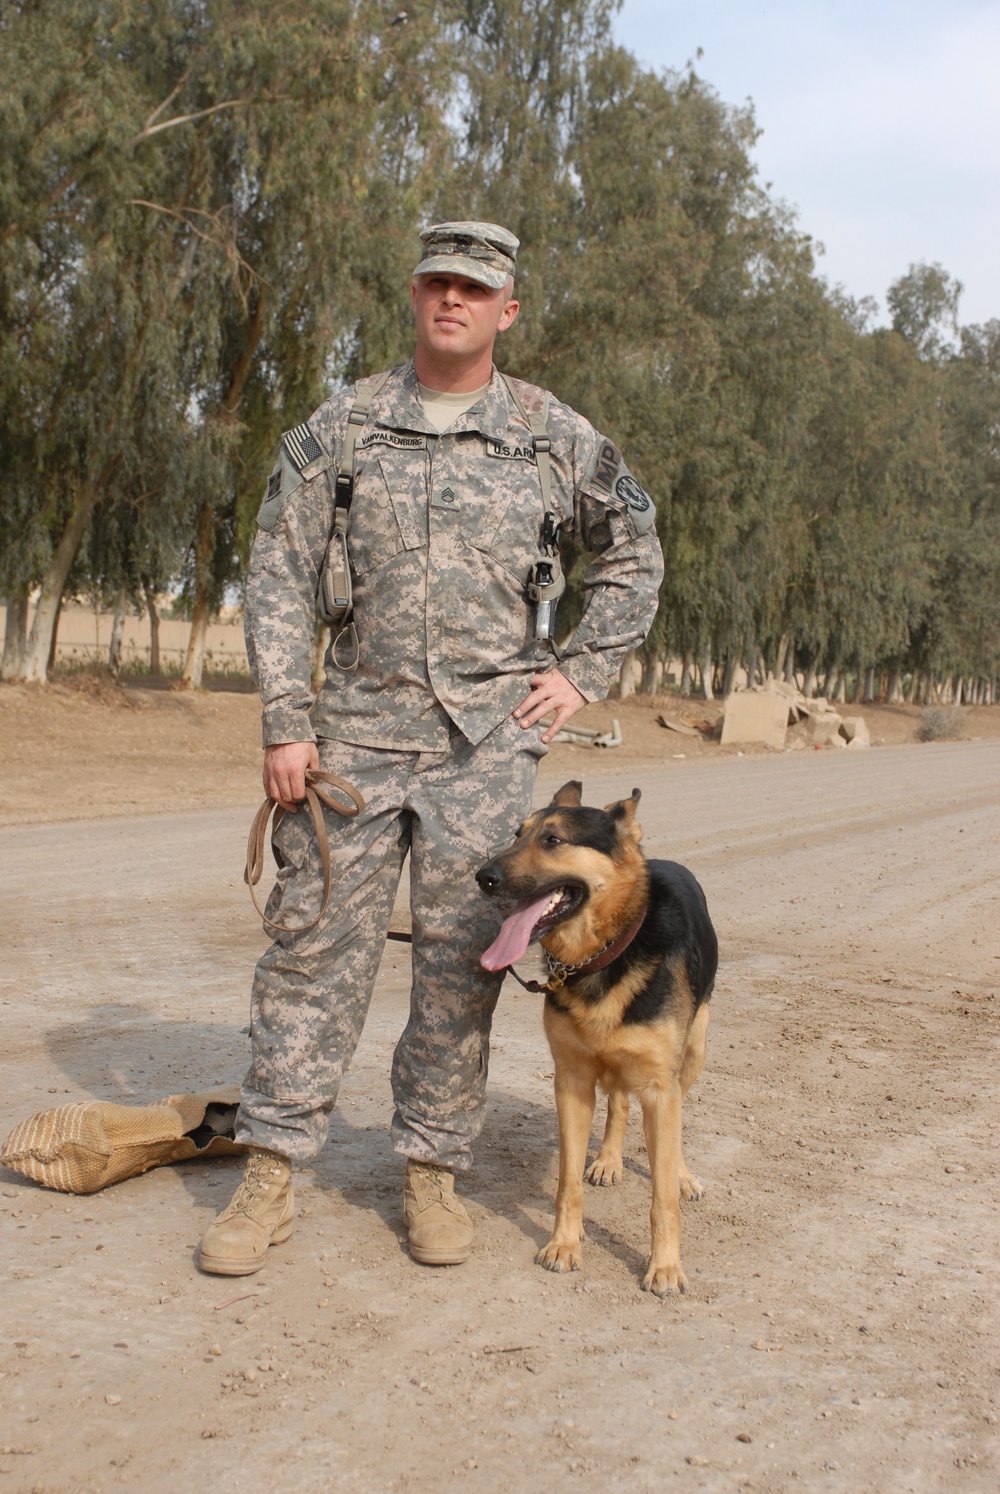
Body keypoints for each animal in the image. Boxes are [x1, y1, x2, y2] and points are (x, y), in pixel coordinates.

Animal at [475, 782, 714, 1296]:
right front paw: (564, 1244)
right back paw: (607, 1159)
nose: (482, 877)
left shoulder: (660, 1088)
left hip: (692, 1054)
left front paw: (665, 1266)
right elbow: (567, 1182)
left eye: (553, 840)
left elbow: (662, 1197)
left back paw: (683, 1175)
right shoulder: (572, 1082)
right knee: (619, 1103)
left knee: (675, 1124)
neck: (607, 952)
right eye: (517, 834)